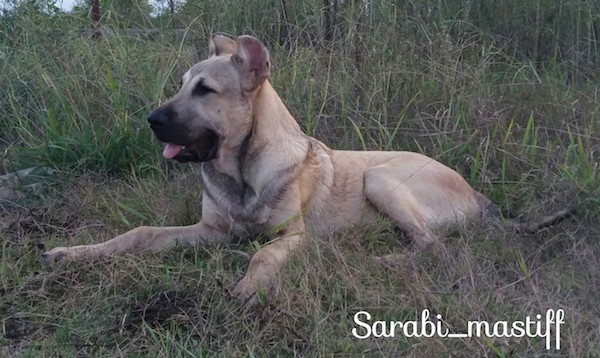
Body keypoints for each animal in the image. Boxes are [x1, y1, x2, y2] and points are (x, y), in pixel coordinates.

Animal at [43, 34, 572, 302]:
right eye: (181, 84)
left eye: (204, 90)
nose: (151, 121)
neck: (241, 170)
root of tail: (481, 197)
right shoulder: (210, 230)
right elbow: (139, 233)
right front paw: (76, 253)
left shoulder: (290, 236)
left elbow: (263, 255)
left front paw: (249, 289)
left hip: (381, 177)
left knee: (431, 247)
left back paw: (374, 260)